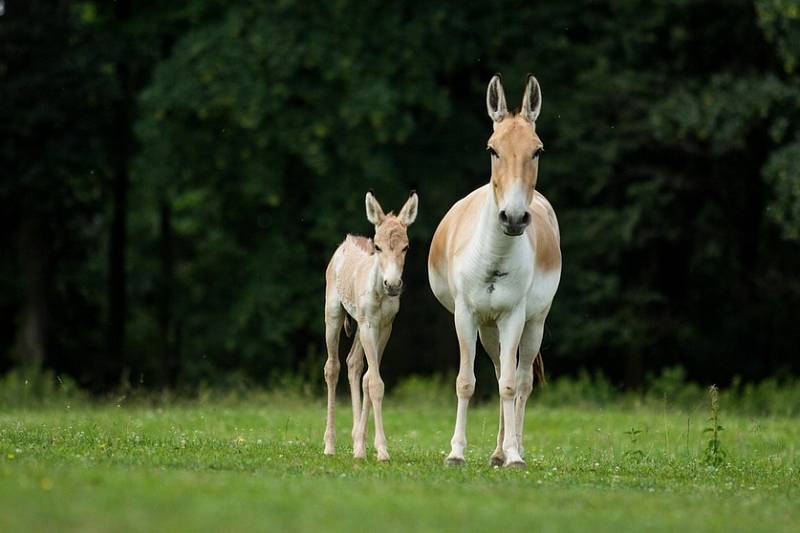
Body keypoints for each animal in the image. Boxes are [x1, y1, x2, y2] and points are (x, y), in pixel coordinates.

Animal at [322, 189, 418, 460]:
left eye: (406, 247)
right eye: (378, 246)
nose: (393, 285)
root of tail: (346, 242)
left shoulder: (384, 327)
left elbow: (368, 378)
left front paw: (364, 447)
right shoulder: (368, 326)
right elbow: (375, 383)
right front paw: (382, 451)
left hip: (358, 325)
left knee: (353, 364)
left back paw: (357, 441)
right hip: (334, 314)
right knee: (332, 367)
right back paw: (329, 446)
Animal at [428, 75, 560, 466]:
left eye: (537, 150)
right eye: (492, 149)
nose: (514, 218)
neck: (494, 258)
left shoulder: (515, 316)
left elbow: (511, 386)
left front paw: (515, 456)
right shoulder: (465, 315)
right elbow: (466, 381)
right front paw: (456, 452)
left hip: (534, 324)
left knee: (521, 381)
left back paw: (512, 450)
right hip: (489, 328)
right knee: (503, 369)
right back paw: (499, 451)